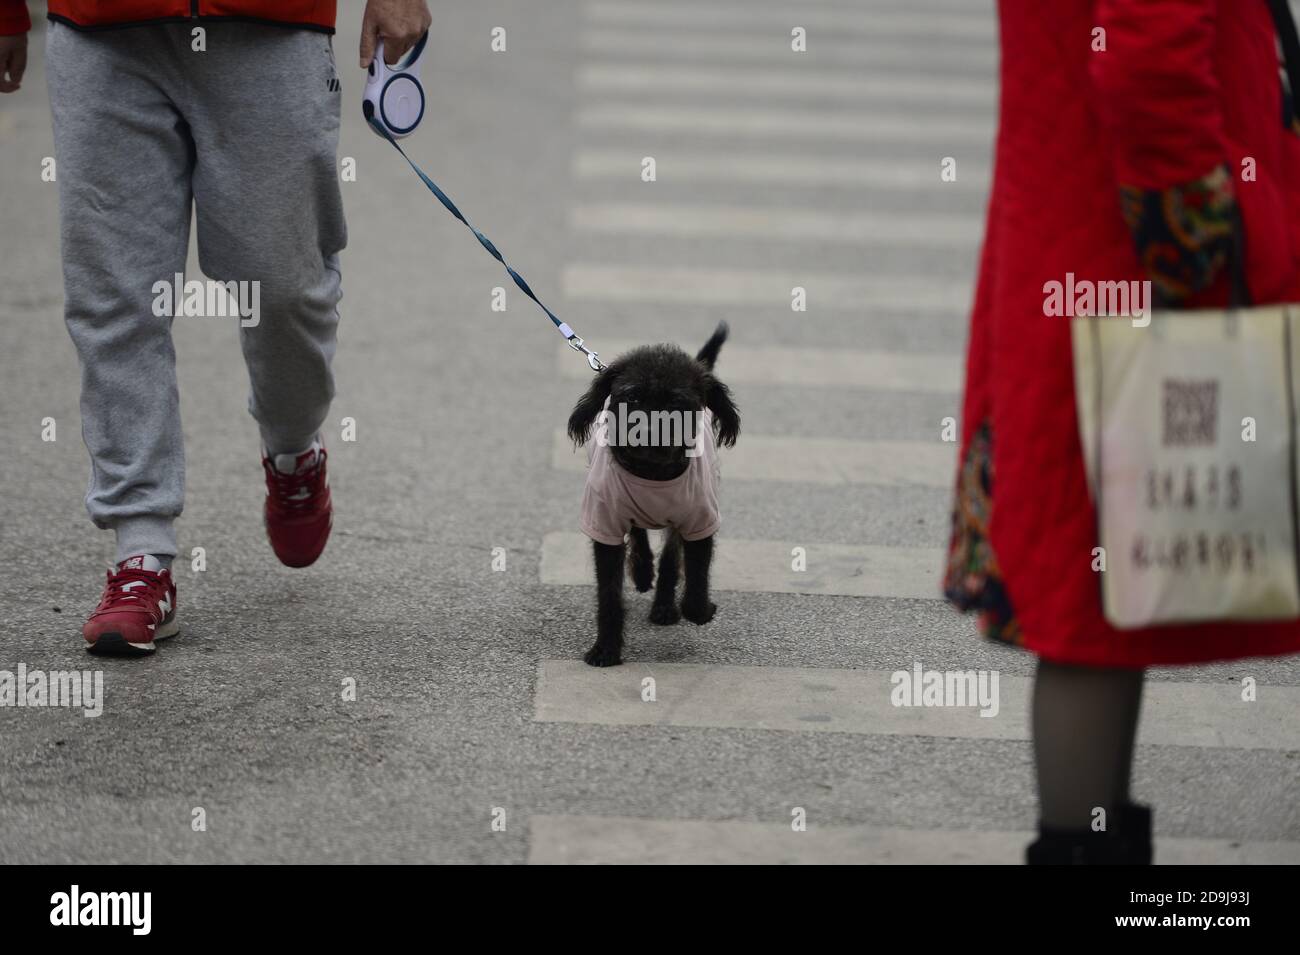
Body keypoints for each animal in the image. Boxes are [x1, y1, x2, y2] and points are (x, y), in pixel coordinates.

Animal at [569, 320, 743, 665]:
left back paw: (663, 604)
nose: (648, 433)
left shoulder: (700, 520)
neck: (651, 473)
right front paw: (605, 648)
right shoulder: (604, 524)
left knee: (670, 556)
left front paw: (700, 609)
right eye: (632, 398)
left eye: (677, 404)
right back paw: (642, 571)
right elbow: (608, 594)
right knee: (639, 535)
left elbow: (695, 578)